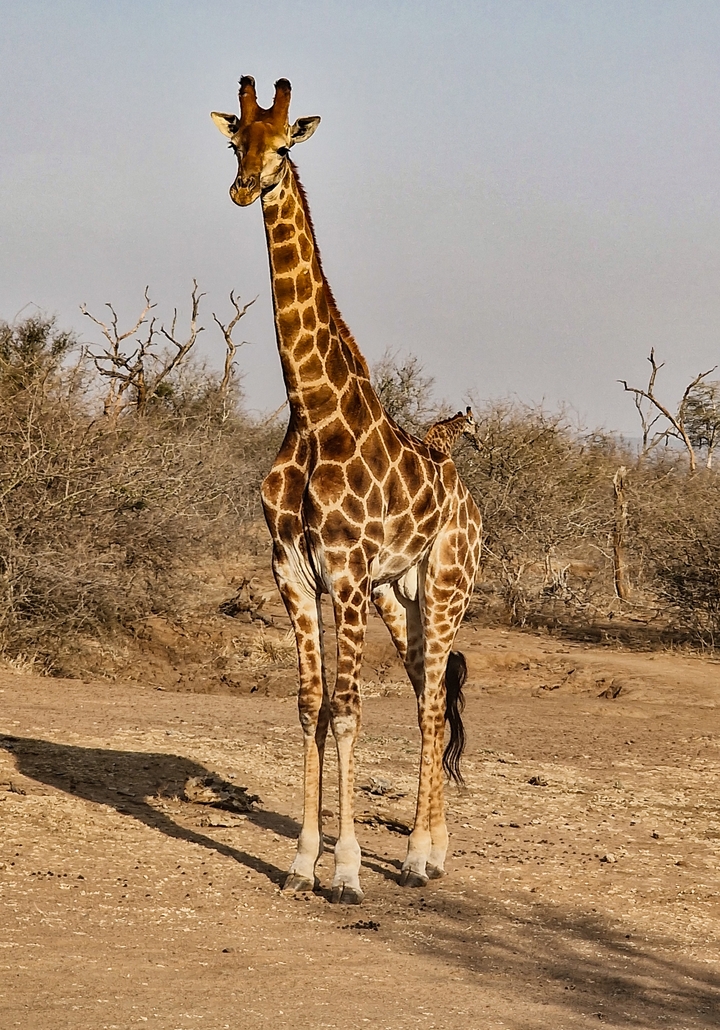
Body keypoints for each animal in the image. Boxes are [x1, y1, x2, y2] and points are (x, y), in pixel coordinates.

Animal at [212, 77, 482, 904]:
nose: (244, 188)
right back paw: (433, 849)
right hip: (400, 594)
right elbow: (311, 708)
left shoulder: (347, 573)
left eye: (283, 146)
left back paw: (419, 858)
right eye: (235, 142)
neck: (311, 411)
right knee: (430, 694)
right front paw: (302, 863)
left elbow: (351, 712)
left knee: (433, 700)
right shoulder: (295, 574)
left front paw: (349, 870)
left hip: (447, 585)